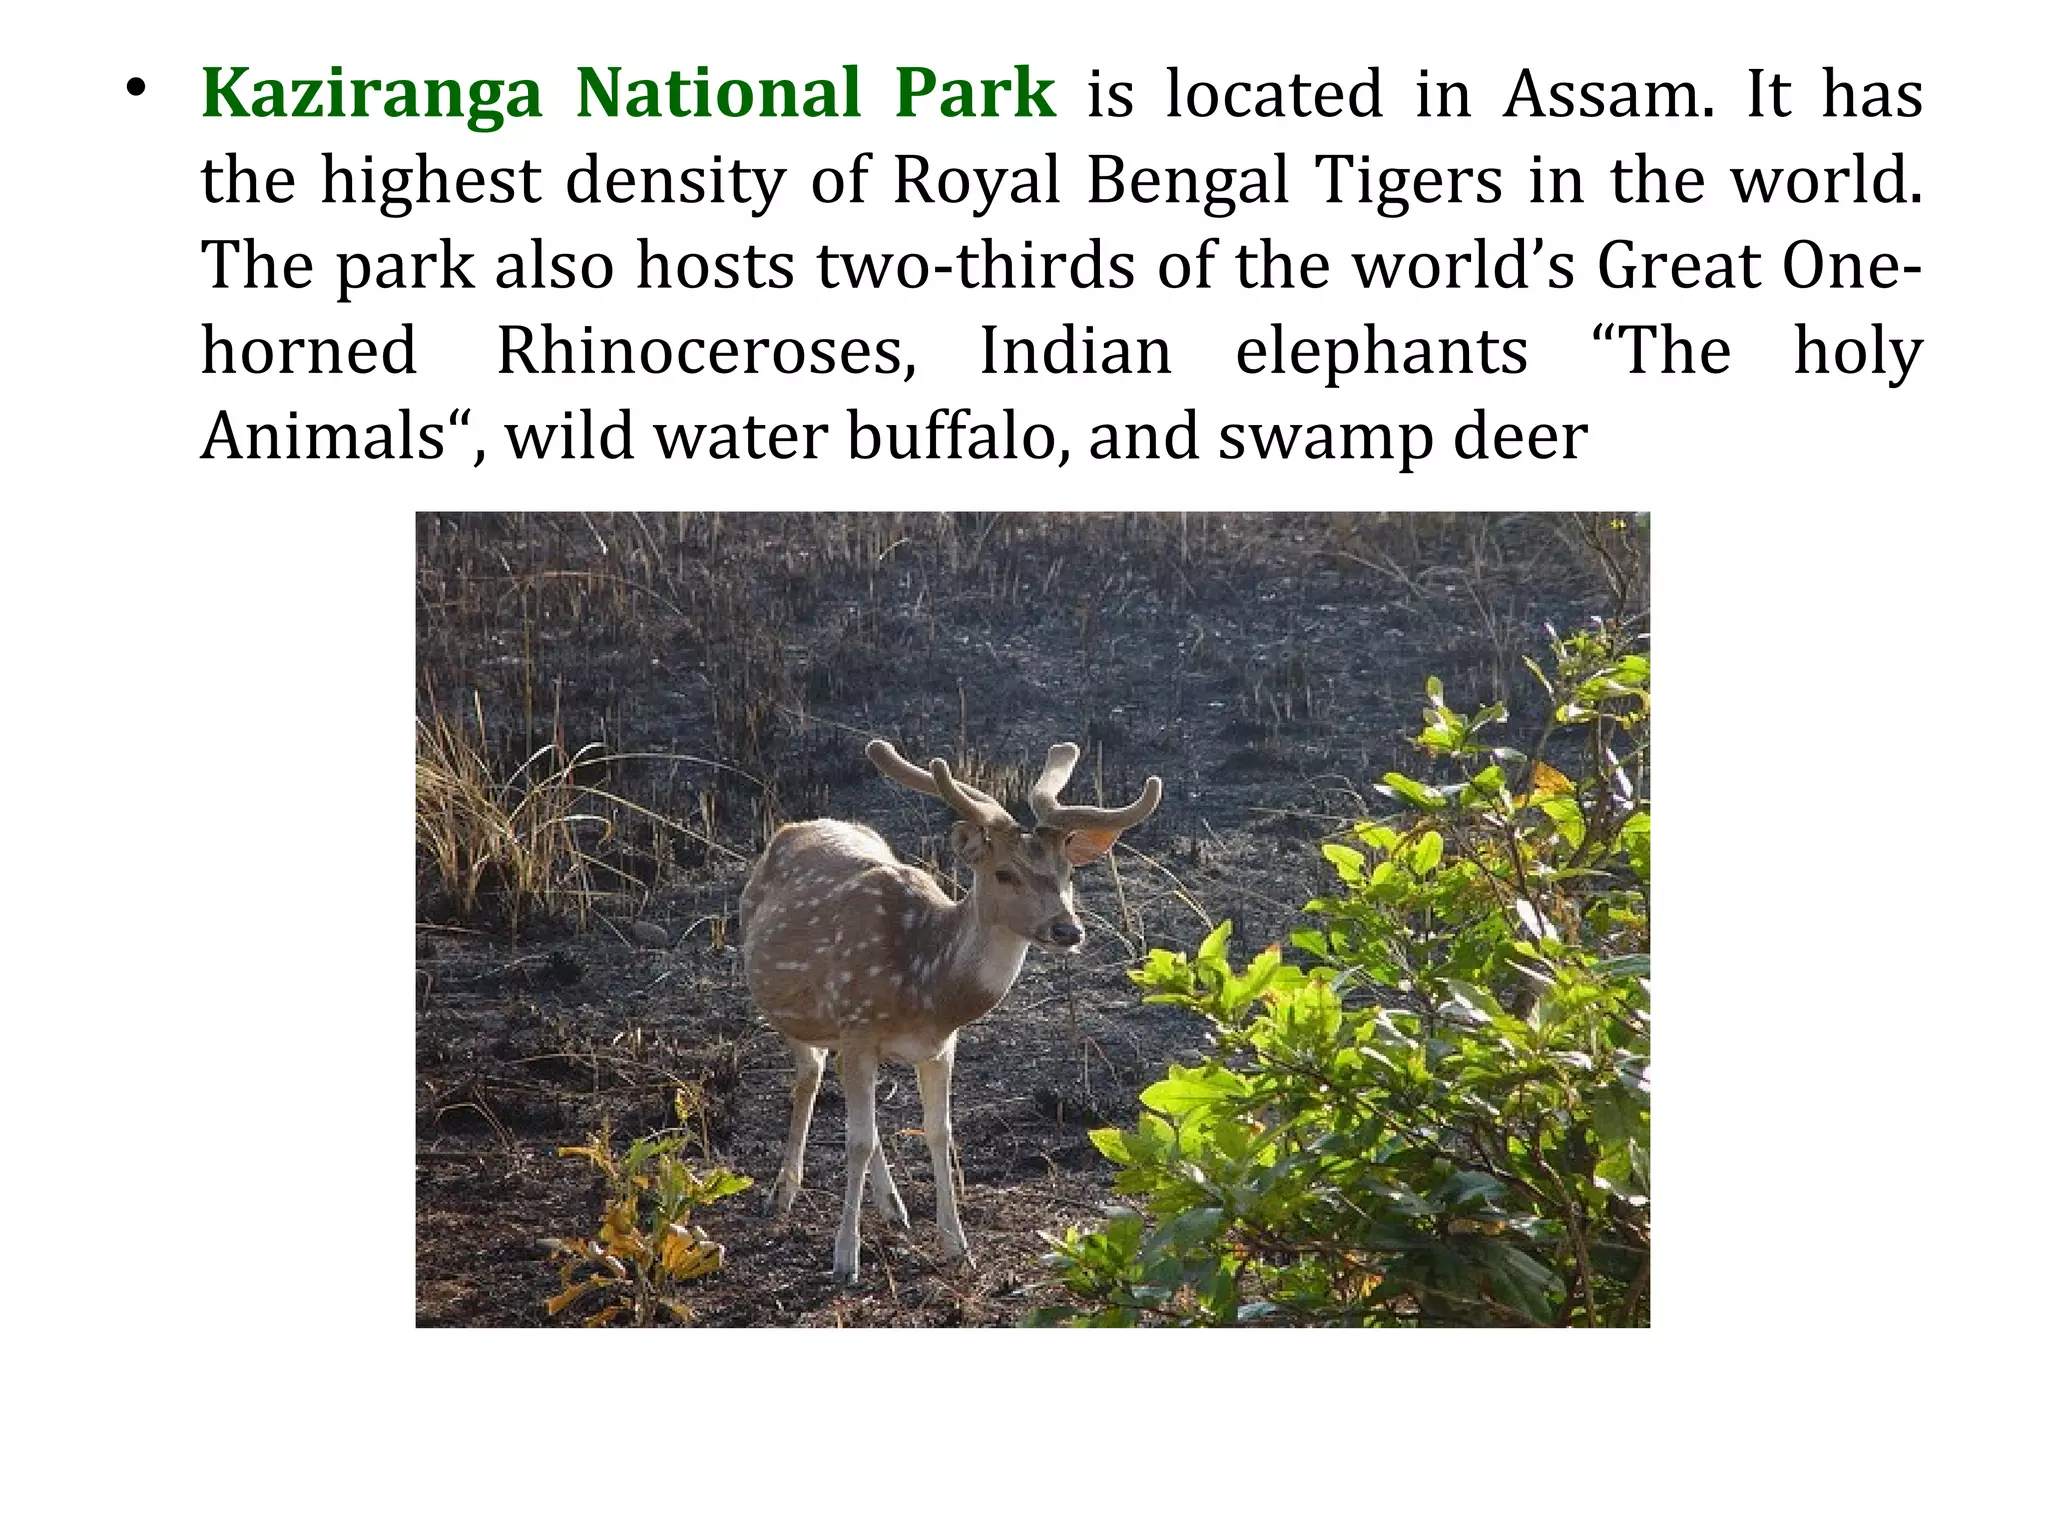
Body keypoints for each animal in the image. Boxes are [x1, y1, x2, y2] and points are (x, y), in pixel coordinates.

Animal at [740, 738, 1163, 1286]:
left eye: (1068, 872)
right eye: (1004, 873)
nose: (1068, 930)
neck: (927, 986)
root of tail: (794, 827)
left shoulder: (940, 1046)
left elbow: (938, 1132)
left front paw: (957, 1246)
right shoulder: (857, 1025)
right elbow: (856, 1140)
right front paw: (845, 1260)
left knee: (843, 1094)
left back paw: (893, 1206)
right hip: (797, 1012)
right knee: (810, 1078)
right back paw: (782, 1194)